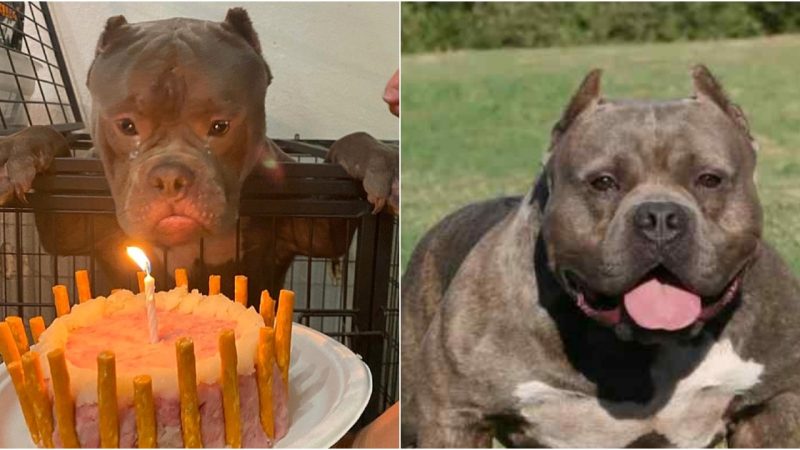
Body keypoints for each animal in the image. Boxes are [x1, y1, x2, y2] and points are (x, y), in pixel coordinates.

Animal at [0, 7, 396, 300]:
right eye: (127, 125)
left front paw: (376, 159)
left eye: (220, 126)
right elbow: (54, 137)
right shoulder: (70, 223)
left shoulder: (314, 226)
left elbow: (346, 148)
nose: (170, 176)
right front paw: (18, 148)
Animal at [404, 66, 800, 446]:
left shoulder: (773, 406)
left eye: (709, 179)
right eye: (603, 182)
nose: (659, 217)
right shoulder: (455, 416)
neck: (641, 346)